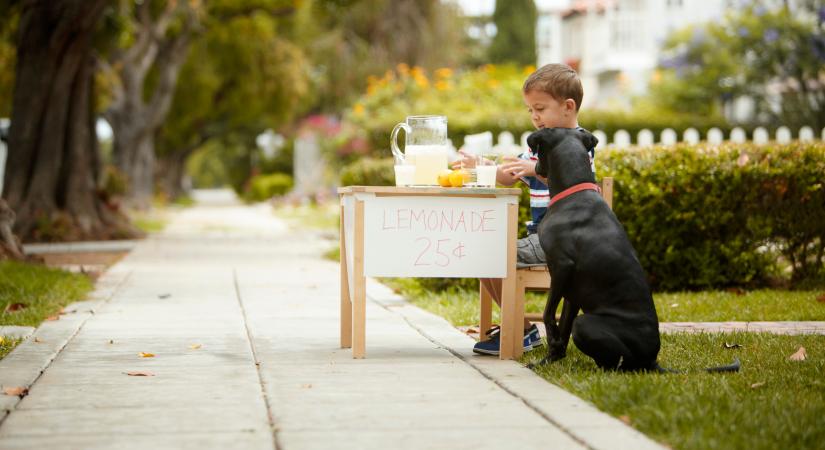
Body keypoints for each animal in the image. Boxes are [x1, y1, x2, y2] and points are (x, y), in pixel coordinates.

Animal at [528, 127, 740, 372]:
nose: (534, 167)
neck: (574, 191)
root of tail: (652, 360)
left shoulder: (561, 267)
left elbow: (548, 313)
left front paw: (550, 340)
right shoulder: (572, 290)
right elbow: (563, 326)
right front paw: (548, 360)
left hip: (586, 324)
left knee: (619, 362)